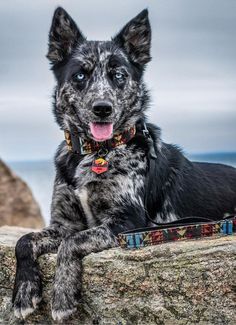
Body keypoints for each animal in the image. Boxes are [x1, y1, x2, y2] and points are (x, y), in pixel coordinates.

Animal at [12, 6, 236, 322]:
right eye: (80, 75)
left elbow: (72, 243)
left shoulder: (127, 222)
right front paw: (23, 293)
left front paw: (62, 297)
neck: (96, 152)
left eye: (119, 75)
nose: (102, 108)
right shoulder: (63, 224)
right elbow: (25, 240)